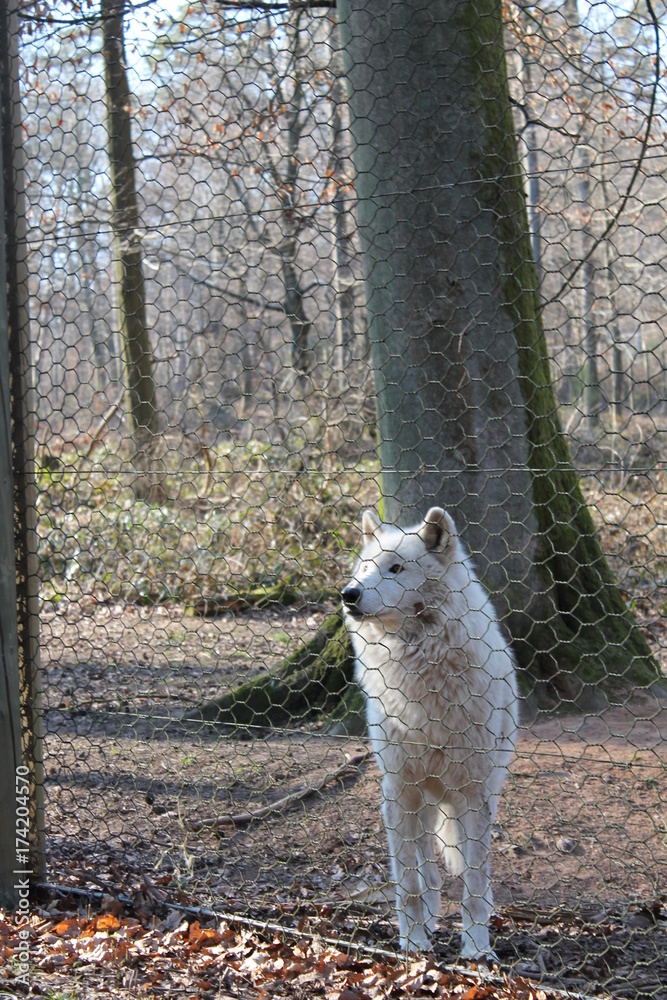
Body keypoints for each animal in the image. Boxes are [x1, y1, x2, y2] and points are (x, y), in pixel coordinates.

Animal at [341, 507, 518, 960]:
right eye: (364, 569)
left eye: (395, 568)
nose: (348, 594)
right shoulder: (398, 791)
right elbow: (408, 884)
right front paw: (413, 943)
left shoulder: (474, 794)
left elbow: (474, 881)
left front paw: (477, 948)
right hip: (419, 801)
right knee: (427, 869)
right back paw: (430, 918)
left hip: (480, 792)